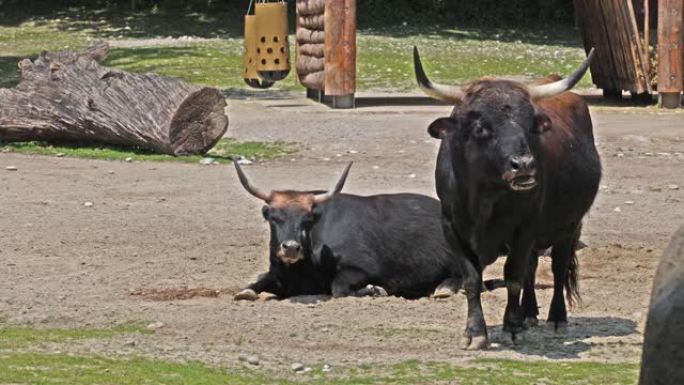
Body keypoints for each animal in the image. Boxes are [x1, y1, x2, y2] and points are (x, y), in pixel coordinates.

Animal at [231, 160, 464, 302]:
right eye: (273, 218)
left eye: (306, 221)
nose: (291, 248)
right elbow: (257, 283)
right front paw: (246, 291)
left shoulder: (361, 268)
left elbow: (338, 287)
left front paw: (375, 289)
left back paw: (444, 288)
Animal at [412, 47, 600, 348]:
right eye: (480, 127)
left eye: (530, 125)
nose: (523, 165)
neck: (484, 199)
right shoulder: (452, 228)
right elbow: (472, 279)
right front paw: (475, 332)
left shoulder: (525, 227)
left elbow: (513, 276)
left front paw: (512, 327)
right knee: (532, 268)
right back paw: (529, 313)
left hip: (569, 227)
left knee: (557, 268)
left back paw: (556, 318)